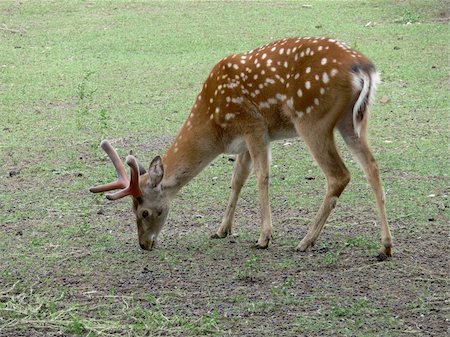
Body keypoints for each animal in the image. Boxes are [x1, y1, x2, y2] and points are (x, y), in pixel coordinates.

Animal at [90, 36, 394, 258]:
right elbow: (237, 179)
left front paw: (264, 237)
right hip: (354, 121)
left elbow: (262, 177)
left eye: (144, 211)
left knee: (339, 174)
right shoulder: (244, 142)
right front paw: (222, 229)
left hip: (312, 118)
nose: (144, 244)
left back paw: (306, 241)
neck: (216, 128)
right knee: (372, 166)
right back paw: (386, 245)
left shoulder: (253, 126)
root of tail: (363, 68)